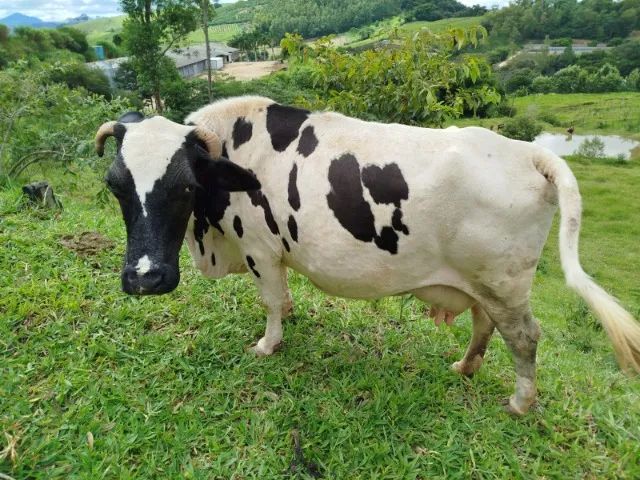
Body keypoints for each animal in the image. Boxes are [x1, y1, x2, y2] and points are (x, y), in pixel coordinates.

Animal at [95, 96, 640, 415]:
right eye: (115, 186)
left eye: (185, 187)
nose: (145, 278)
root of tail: (528, 151)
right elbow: (283, 297)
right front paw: (289, 317)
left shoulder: (259, 250)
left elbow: (268, 301)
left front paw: (268, 344)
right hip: (484, 282)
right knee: (485, 324)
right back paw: (465, 367)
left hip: (504, 283)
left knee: (525, 338)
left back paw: (520, 401)